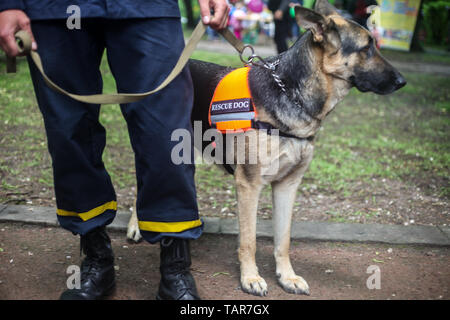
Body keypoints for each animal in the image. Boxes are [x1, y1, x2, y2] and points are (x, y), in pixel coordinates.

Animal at [125, 0, 404, 296]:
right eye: (366, 48)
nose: (402, 81)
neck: (289, 91)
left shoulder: (288, 185)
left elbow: (283, 240)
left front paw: (287, 276)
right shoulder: (249, 184)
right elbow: (250, 240)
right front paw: (250, 277)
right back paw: (136, 227)